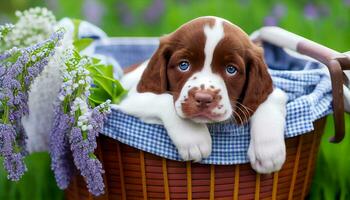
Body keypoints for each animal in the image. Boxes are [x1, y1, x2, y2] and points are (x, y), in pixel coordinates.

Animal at [117, 16, 288, 173]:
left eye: (231, 69)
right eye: (183, 65)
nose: (204, 99)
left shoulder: (271, 91)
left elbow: (267, 99)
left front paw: (268, 150)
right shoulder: (131, 99)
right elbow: (165, 99)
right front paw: (193, 137)